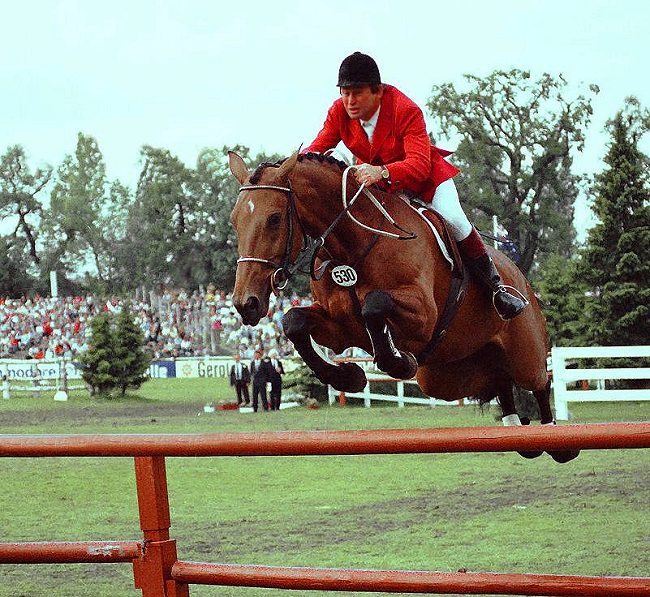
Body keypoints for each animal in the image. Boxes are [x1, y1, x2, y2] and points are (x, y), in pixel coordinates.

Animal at [228, 147, 576, 464]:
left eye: (274, 218)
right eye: (234, 221)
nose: (247, 303)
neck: (352, 247)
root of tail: (521, 276)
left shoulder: (423, 316)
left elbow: (374, 304)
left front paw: (399, 362)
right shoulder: (339, 329)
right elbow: (294, 322)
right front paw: (348, 377)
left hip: (524, 352)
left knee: (538, 382)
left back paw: (556, 441)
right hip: (445, 378)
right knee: (500, 382)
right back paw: (520, 432)